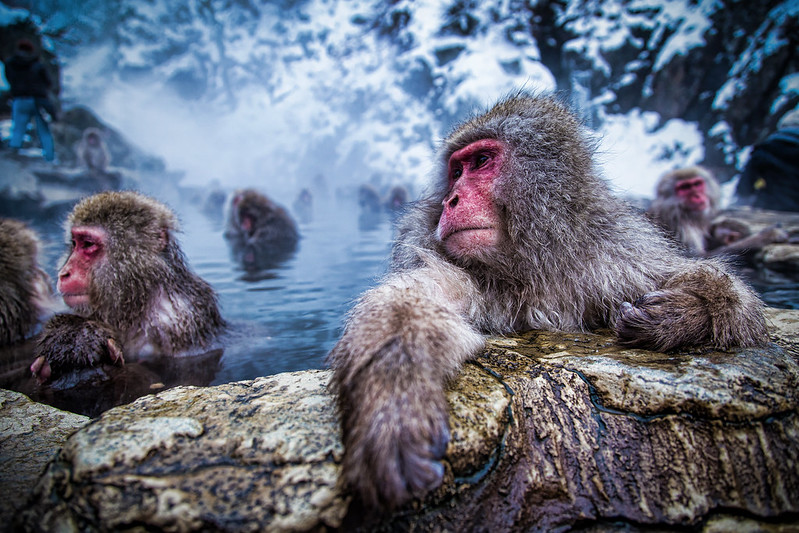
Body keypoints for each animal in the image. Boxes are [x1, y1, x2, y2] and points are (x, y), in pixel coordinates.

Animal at [324, 93, 768, 510]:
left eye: (481, 161)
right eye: (456, 171)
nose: (451, 200)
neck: (531, 264)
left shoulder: (616, 252)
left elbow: (726, 299)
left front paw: (686, 311)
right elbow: (409, 300)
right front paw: (393, 397)